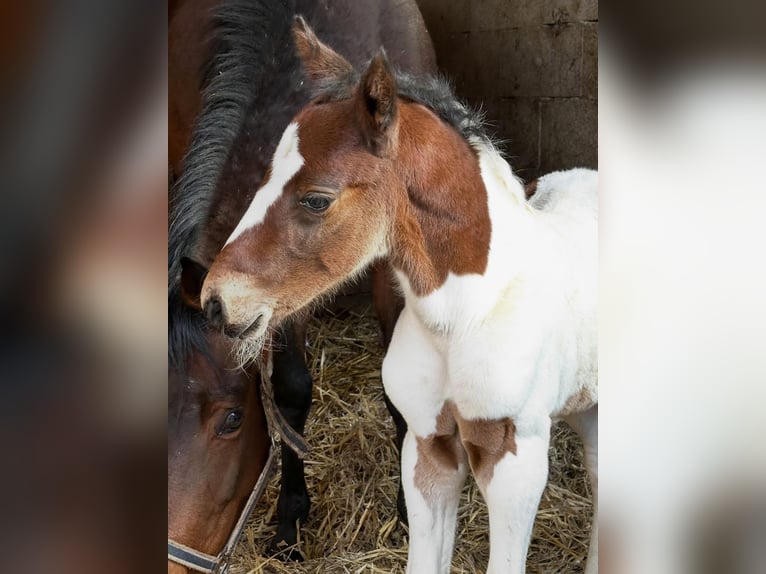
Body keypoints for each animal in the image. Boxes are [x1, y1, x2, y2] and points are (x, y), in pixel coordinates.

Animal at [199, 20, 599, 574]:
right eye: (262, 180)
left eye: (317, 200)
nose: (216, 301)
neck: (465, 316)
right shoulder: (427, 444)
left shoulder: (516, 459)